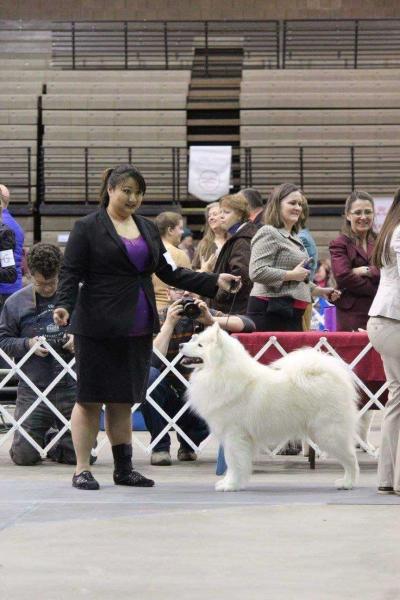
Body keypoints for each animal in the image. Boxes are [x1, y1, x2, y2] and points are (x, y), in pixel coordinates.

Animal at [181, 324, 360, 492]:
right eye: (195, 340)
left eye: (200, 345)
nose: (181, 345)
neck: (221, 371)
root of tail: (332, 376)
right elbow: (233, 462)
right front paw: (229, 483)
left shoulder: (234, 435)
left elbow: (233, 462)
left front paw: (231, 485)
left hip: (328, 434)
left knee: (351, 459)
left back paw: (348, 483)